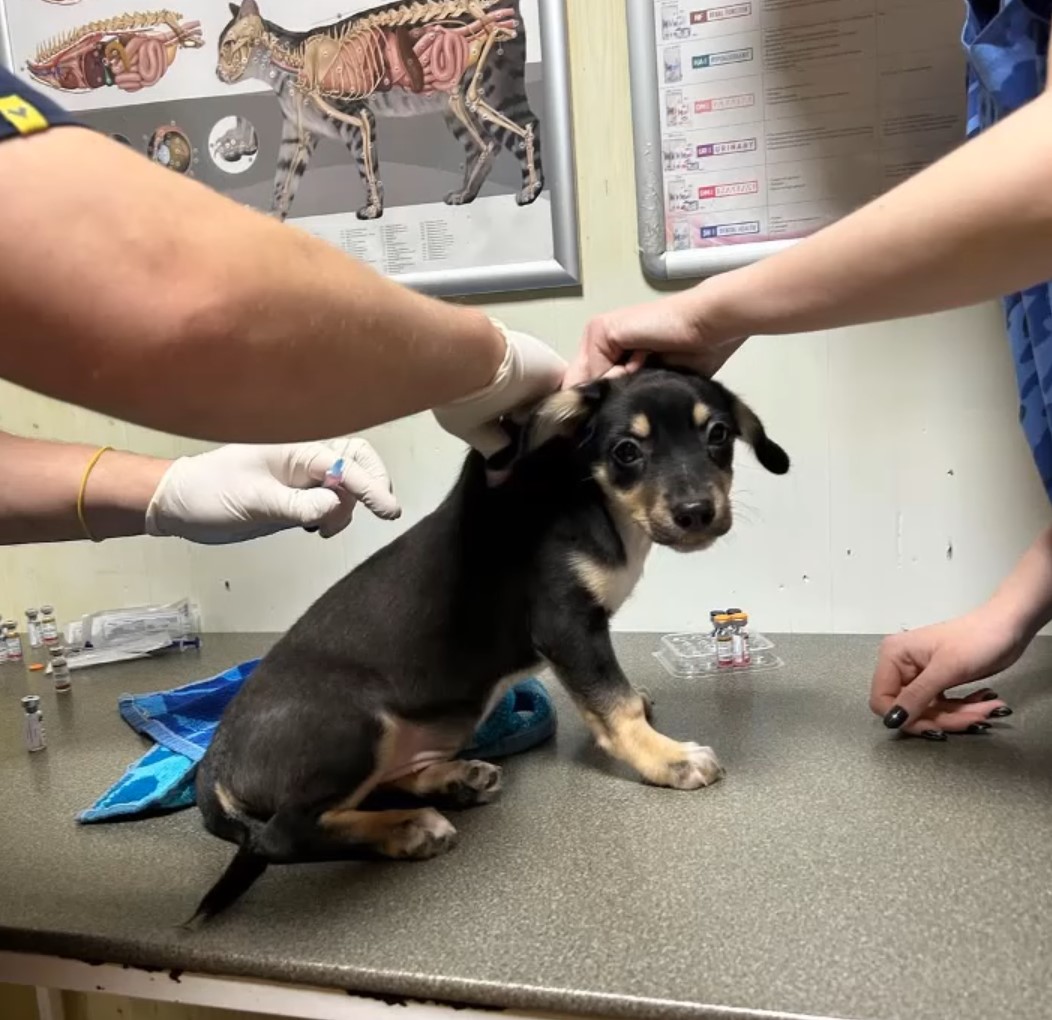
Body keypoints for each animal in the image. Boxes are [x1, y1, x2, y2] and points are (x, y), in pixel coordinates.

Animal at [187, 365, 791, 921]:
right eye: (626, 451)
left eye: (717, 433)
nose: (696, 514)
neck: (602, 508)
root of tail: (213, 764)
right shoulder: (565, 623)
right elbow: (612, 703)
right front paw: (665, 758)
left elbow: (609, 694)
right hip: (353, 724)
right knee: (282, 835)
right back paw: (406, 830)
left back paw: (453, 780)